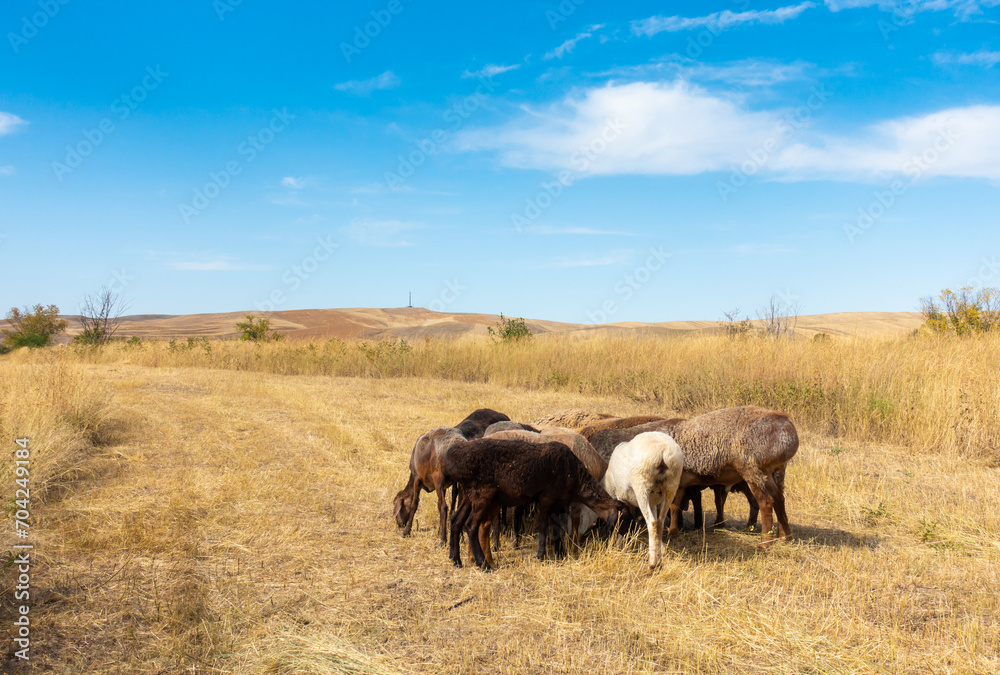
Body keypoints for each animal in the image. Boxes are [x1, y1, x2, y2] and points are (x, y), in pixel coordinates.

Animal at [600, 434, 688, 572]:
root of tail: (662, 451)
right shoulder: (653, 502)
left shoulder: (620, 497)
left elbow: (624, 520)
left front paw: (619, 543)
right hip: (671, 485)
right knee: (659, 523)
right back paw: (658, 559)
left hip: (641, 485)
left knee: (652, 523)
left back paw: (652, 563)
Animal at [668, 406, 800, 544]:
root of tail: (785, 423)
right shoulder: (681, 484)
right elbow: (674, 507)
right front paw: (673, 533)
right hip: (777, 471)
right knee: (779, 499)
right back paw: (785, 538)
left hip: (754, 470)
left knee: (766, 502)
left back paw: (765, 542)